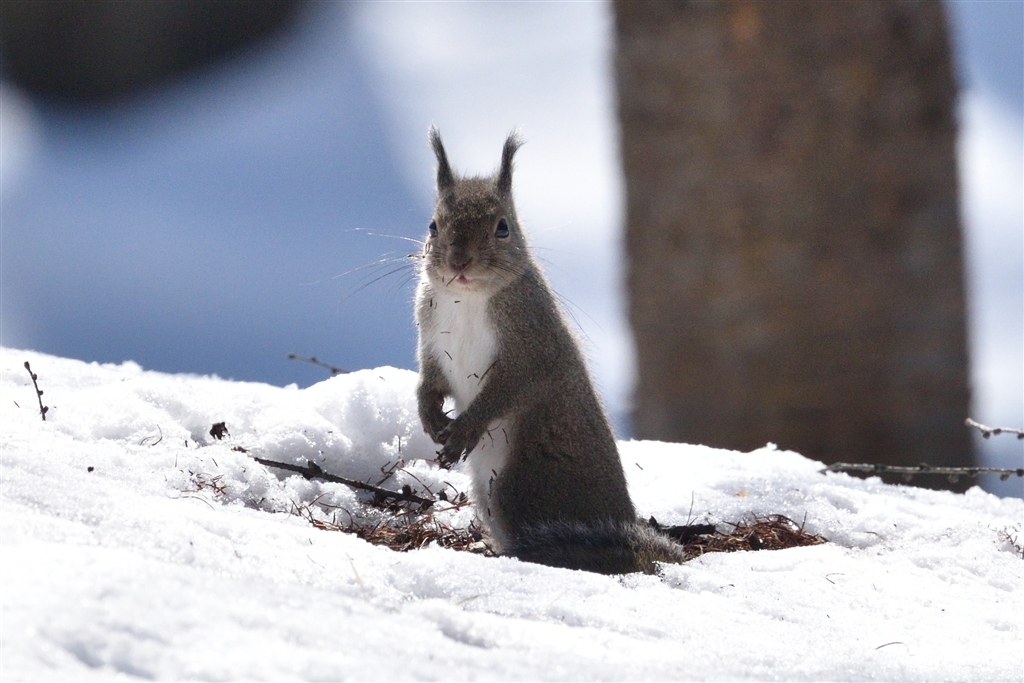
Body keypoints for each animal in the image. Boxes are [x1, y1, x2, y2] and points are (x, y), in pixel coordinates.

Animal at [411, 126, 684, 573]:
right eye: (433, 225)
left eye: (503, 227)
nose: (459, 262)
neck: (467, 299)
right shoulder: (431, 339)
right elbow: (429, 380)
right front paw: (429, 416)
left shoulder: (532, 347)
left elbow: (508, 388)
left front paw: (466, 427)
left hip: (520, 483)